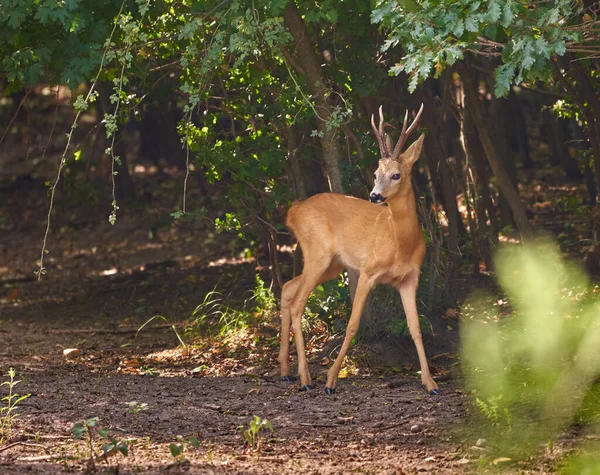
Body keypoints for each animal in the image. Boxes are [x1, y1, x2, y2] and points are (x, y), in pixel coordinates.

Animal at [278, 106, 438, 396]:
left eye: (396, 174)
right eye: (375, 173)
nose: (374, 196)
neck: (400, 244)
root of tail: (293, 211)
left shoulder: (410, 278)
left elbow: (416, 328)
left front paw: (431, 384)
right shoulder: (368, 270)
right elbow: (353, 325)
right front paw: (331, 380)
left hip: (332, 265)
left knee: (287, 288)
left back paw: (285, 371)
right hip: (317, 252)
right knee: (297, 303)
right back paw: (305, 378)